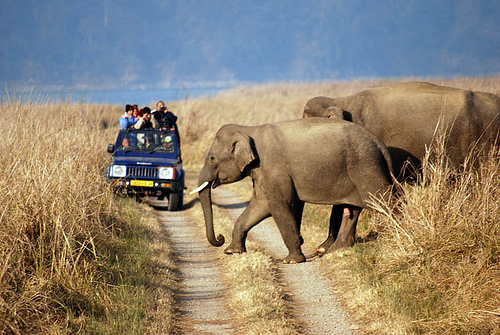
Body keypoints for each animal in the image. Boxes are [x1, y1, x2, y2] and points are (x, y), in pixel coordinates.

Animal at [193, 118, 392, 266]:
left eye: (212, 158)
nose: (220, 237)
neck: (249, 130)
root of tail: (379, 142)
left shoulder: (274, 169)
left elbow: (278, 205)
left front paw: (291, 261)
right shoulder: (262, 172)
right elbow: (260, 205)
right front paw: (232, 252)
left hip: (366, 166)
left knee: (386, 203)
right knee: (353, 209)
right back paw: (336, 250)